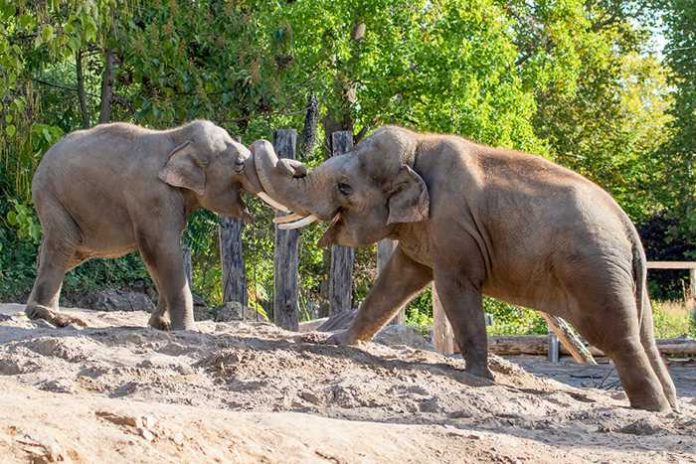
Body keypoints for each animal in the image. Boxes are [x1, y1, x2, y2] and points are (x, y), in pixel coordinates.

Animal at [25, 119, 288, 330]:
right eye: (239, 164)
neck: (177, 137)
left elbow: (155, 257)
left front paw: (162, 325)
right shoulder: (153, 196)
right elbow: (163, 249)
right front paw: (187, 330)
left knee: (63, 252)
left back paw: (42, 312)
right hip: (50, 195)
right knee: (63, 245)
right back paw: (52, 317)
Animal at [251, 125, 680, 412]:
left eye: (344, 187)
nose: (287, 158)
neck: (417, 148)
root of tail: (627, 227)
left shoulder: (453, 228)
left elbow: (454, 288)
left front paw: (474, 376)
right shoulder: (423, 231)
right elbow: (396, 280)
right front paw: (337, 342)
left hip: (593, 273)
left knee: (619, 338)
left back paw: (651, 408)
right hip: (625, 279)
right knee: (646, 336)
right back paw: (671, 406)